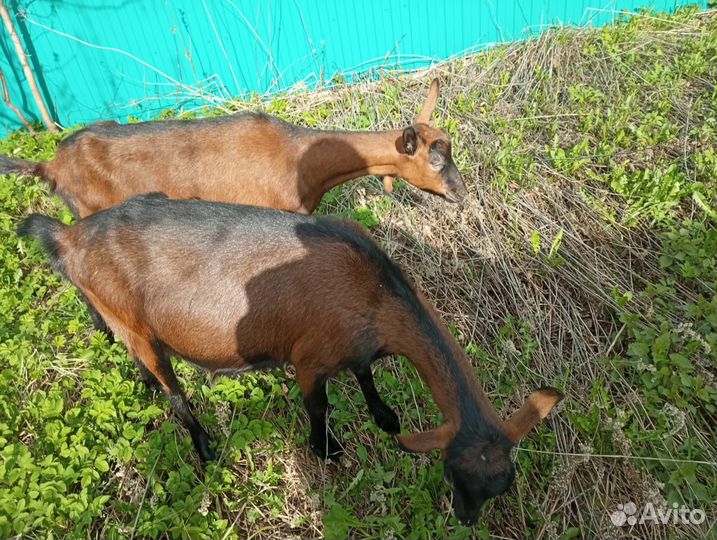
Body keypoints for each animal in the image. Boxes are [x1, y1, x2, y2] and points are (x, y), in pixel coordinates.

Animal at [18, 193, 561, 525]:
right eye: (452, 474)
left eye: (503, 485)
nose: (466, 519)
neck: (375, 292)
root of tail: (68, 238)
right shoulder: (310, 362)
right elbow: (319, 407)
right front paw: (327, 450)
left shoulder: (353, 349)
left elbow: (365, 373)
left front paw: (385, 415)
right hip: (134, 324)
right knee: (174, 395)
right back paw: (204, 445)